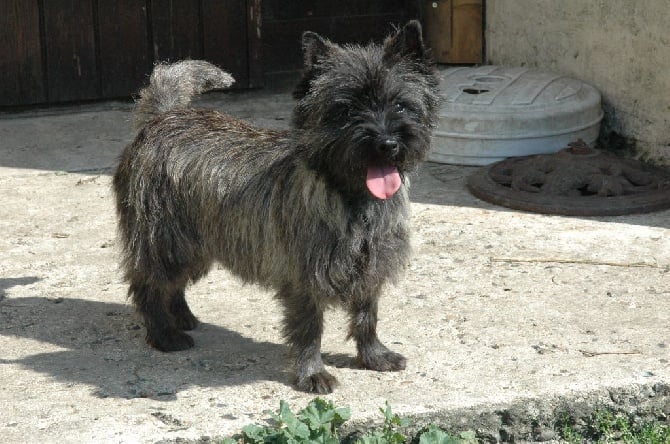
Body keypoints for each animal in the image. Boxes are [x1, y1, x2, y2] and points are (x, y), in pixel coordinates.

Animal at [112, 20, 440, 392]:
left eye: (400, 105)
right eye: (345, 110)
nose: (386, 143)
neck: (352, 200)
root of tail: (163, 117)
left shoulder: (371, 268)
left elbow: (366, 315)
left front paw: (374, 356)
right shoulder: (303, 279)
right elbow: (310, 328)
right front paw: (312, 374)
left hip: (195, 244)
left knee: (173, 284)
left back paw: (182, 317)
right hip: (164, 241)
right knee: (148, 285)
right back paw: (164, 334)